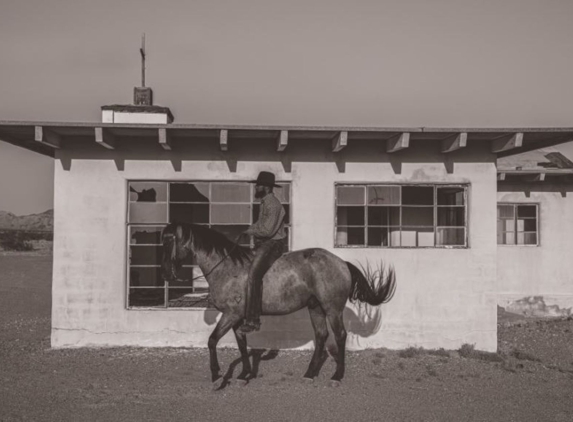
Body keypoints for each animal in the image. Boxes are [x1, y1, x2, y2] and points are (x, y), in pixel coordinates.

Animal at [159, 221, 396, 390]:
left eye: (170, 241)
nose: (166, 273)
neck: (226, 268)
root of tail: (341, 263)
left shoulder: (231, 314)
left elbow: (212, 341)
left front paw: (217, 377)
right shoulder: (236, 317)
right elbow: (242, 344)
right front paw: (244, 375)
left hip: (332, 308)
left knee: (340, 336)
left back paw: (336, 376)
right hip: (315, 307)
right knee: (321, 336)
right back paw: (309, 374)